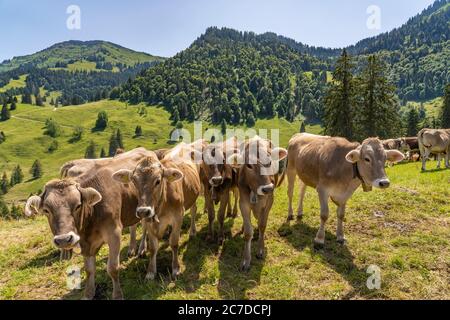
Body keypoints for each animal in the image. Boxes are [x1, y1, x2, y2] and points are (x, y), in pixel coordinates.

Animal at [113, 152, 201, 280]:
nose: (143, 211)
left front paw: (176, 269)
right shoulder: (149, 219)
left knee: (194, 210)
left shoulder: (178, 217)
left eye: (158, 181)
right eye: (134, 181)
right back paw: (142, 248)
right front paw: (150, 271)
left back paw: (192, 232)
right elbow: (153, 247)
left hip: (194, 196)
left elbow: (174, 243)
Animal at [229, 135, 288, 270]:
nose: (268, 188)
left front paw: (261, 249)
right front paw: (246, 259)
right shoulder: (243, 203)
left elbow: (262, 225)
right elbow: (248, 232)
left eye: (270, 161)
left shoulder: (270, 201)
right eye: (249, 165)